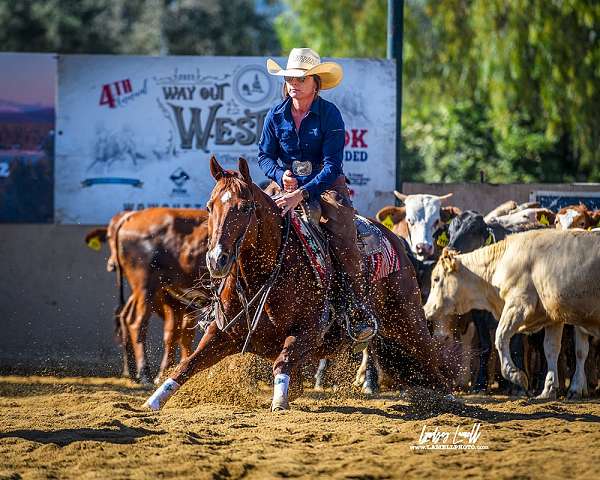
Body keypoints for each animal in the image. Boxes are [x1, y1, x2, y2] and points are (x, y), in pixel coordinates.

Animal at [144, 158, 460, 412]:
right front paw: (154, 401)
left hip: (408, 320)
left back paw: (449, 399)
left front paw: (278, 402)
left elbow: (282, 362)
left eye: (244, 207)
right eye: (210, 207)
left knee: (431, 357)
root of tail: (396, 240)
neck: (264, 275)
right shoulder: (222, 333)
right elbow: (187, 364)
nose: (216, 259)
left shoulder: (309, 331)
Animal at [424, 231, 600, 400]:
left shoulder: (518, 305)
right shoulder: (553, 317)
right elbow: (551, 348)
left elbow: (501, 338)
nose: (426, 309)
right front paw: (548, 390)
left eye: (436, 279)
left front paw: (516, 376)